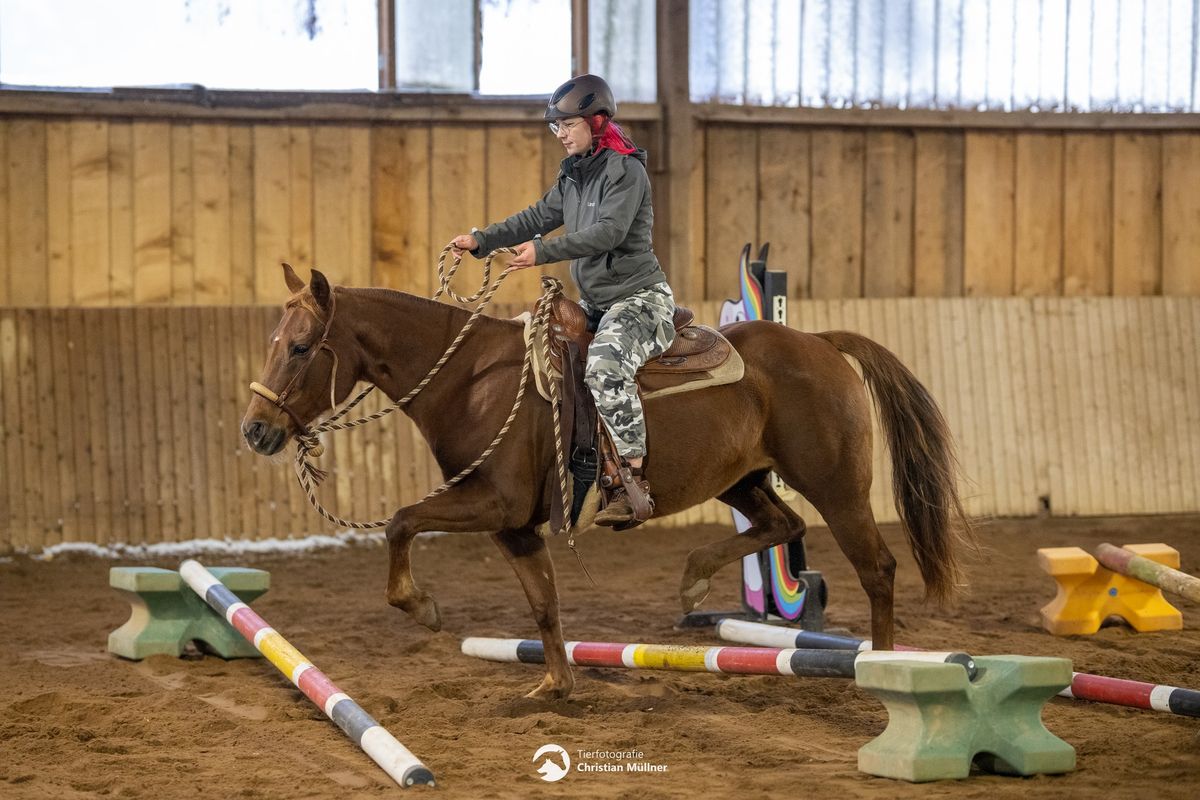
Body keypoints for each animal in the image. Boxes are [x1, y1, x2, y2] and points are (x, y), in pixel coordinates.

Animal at [243, 266, 974, 695]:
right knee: (780, 523)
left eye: (301, 347)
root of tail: (821, 342)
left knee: (876, 568)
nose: (255, 430)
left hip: (837, 486)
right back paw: (694, 577)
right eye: (273, 340)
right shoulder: (514, 525)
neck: (472, 380)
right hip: (740, 479)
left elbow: (400, 521)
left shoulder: (491, 503)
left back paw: (878, 671)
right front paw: (557, 686)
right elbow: (544, 603)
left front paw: (420, 606)